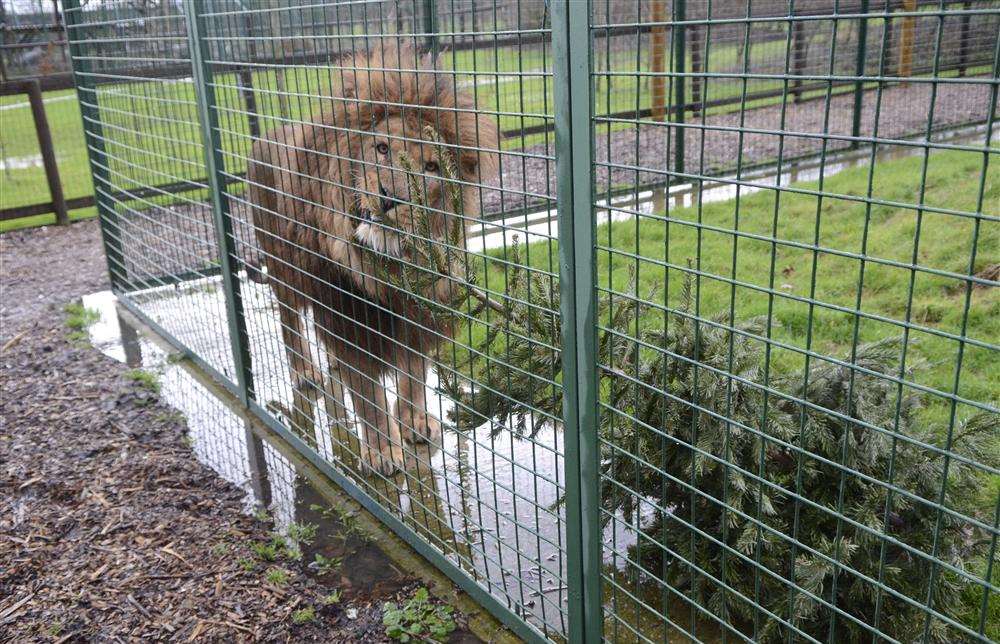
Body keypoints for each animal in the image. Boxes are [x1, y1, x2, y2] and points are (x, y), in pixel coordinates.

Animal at [250, 45, 500, 476]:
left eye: (430, 167)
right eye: (381, 148)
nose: (389, 198)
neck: (391, 268)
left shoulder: (418, 313)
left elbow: (414, 373)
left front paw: (415, 422)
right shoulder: (351, 316)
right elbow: (368, 396)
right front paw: (383, 450)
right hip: (284, 269)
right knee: (290, 323)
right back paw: (305, 373)